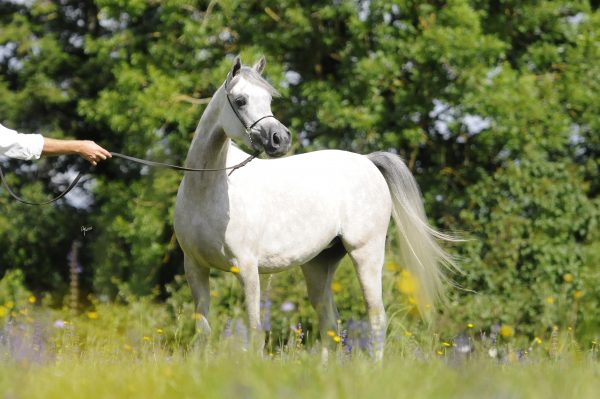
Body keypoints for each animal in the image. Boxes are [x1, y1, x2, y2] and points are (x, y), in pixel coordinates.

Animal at [175, 57, 460, 362]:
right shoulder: (195, 268)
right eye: (240, 100)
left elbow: (255, 332)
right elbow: (203, 330)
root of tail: (368, 161)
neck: (207, 189)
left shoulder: (247, 269)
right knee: (329, 323)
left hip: (366, 255)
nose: (280, 138)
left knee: (376, 318)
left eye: (268, 99)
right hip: (319, 264)